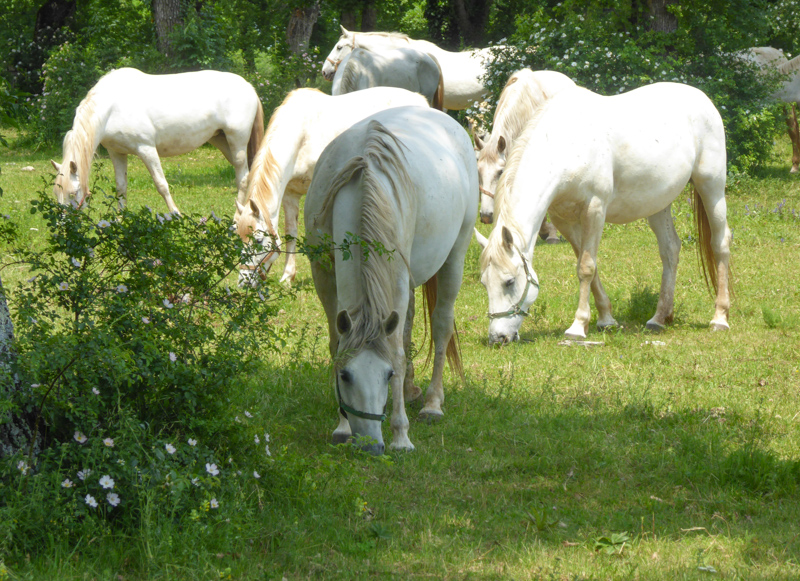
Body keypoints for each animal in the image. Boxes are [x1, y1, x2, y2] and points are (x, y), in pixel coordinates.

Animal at [53, 68, 266, 213]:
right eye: (57, 194)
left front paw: (176, 214)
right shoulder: (117, 153)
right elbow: (121, 187)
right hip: (222, 142)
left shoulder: (146, 149)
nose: (65, 226)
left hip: (237, 142)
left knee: (243, 178)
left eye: (72, 193)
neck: (111, 108)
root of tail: (249, 87)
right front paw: (120, 218)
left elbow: (161, 184)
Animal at [234, 86, 428, 286]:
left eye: (258, 240)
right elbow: (291, 233)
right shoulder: (290, 193)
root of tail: (419, 100)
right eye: (238, 238)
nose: (243, 281)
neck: (302, 134)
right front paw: (288, 277)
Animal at [302, 106, 476, 456]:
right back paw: (410, 392)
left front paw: (400, 434)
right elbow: (336, 343)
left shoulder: (395, 276)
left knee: (441, 324)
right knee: (406, 326)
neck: (363, 184)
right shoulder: (323, 275)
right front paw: (342, 426)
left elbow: (395, 350)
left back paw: (432, 404)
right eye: (345, 376)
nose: (371, 445)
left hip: (454, 257)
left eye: (387, 375)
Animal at [476, 82, 732, 344]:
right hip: (659, 204)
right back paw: (659, 318)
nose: (498, 337)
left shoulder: (595, 210)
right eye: (484, 283)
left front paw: (578, 326)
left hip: (711, 188)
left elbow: (586, 267)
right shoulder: (564, 220)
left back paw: (720, 318)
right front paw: (606, 319)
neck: (565, 144)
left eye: (509, 282)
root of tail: (702, 98)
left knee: (720, 243)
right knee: (670, 249)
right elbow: (589, 265)